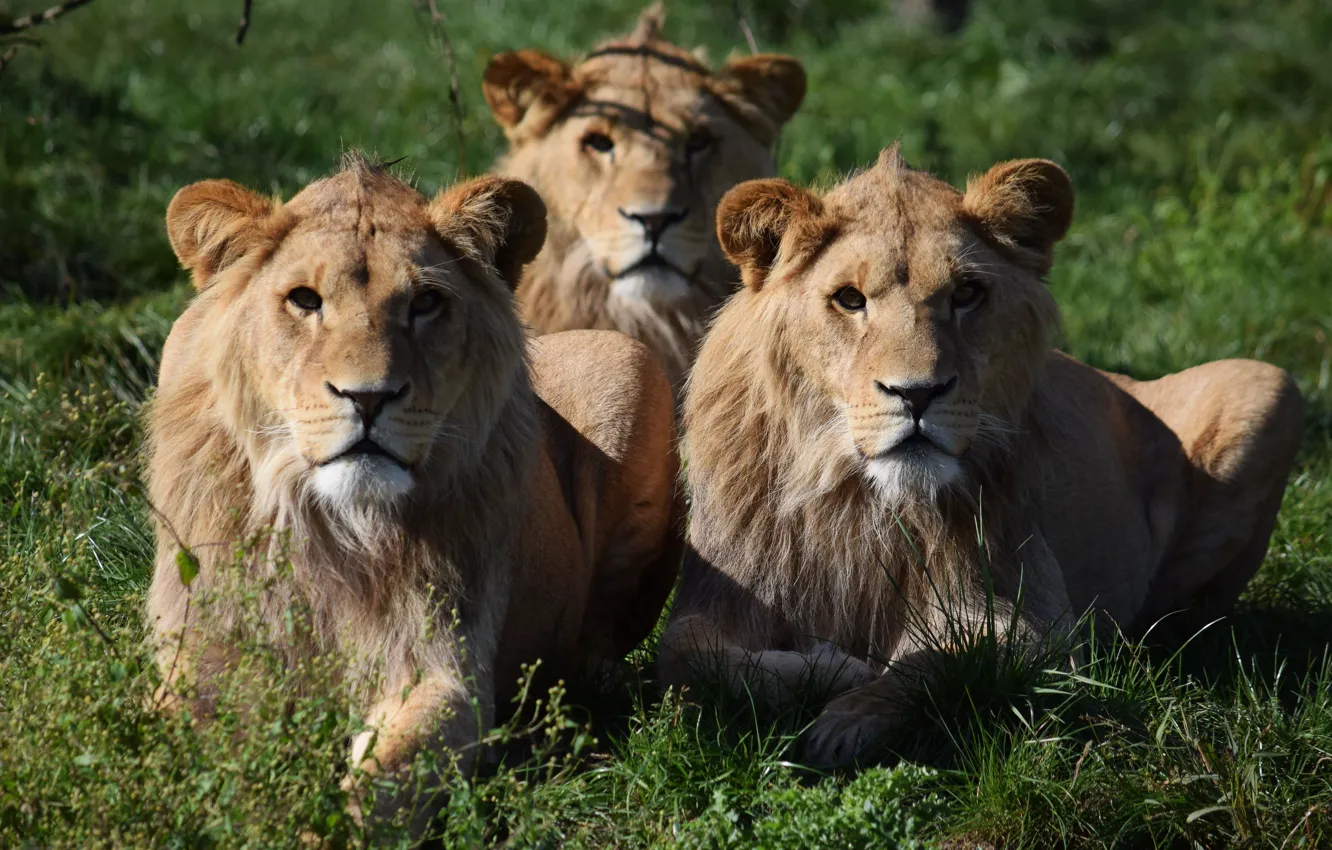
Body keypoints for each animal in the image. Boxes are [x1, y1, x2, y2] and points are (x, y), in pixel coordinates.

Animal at [146, 154, 683, 829]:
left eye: (426, 303)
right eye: (304, 300)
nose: (369, 397)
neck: (334, 527)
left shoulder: (442, 669)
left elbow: (376, 789)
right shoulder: (199, 658)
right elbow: (165, 757)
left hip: (631, 361)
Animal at [659, 145, 1304, 768]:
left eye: (967, 294)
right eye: (849, 299)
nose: (917, 393)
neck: (861, 502)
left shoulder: (1039, 624)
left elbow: (936, 662)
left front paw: (846, 716)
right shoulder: (719, 595)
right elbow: (693, 660)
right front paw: (834, 668)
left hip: (1268, 386)